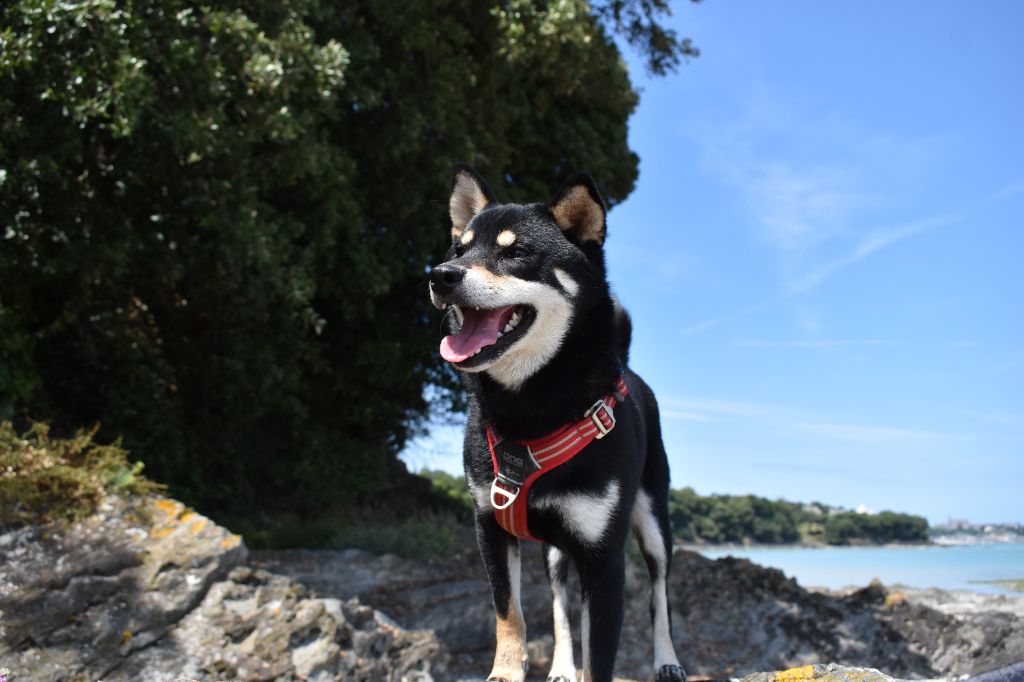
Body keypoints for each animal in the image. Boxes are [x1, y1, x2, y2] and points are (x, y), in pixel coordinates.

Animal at [428, 165, 684, 679]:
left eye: (517, 252)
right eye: (458, 251)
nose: (440, 276)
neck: (528, 409)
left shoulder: (604, 558)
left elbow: (601, 652)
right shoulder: (490, 527)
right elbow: (510, 612)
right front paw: (506, 672)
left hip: (653, 521)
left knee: (660, 597)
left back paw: (667, 660)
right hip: (554, 551)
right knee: (560, 605)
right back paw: (564, 664)